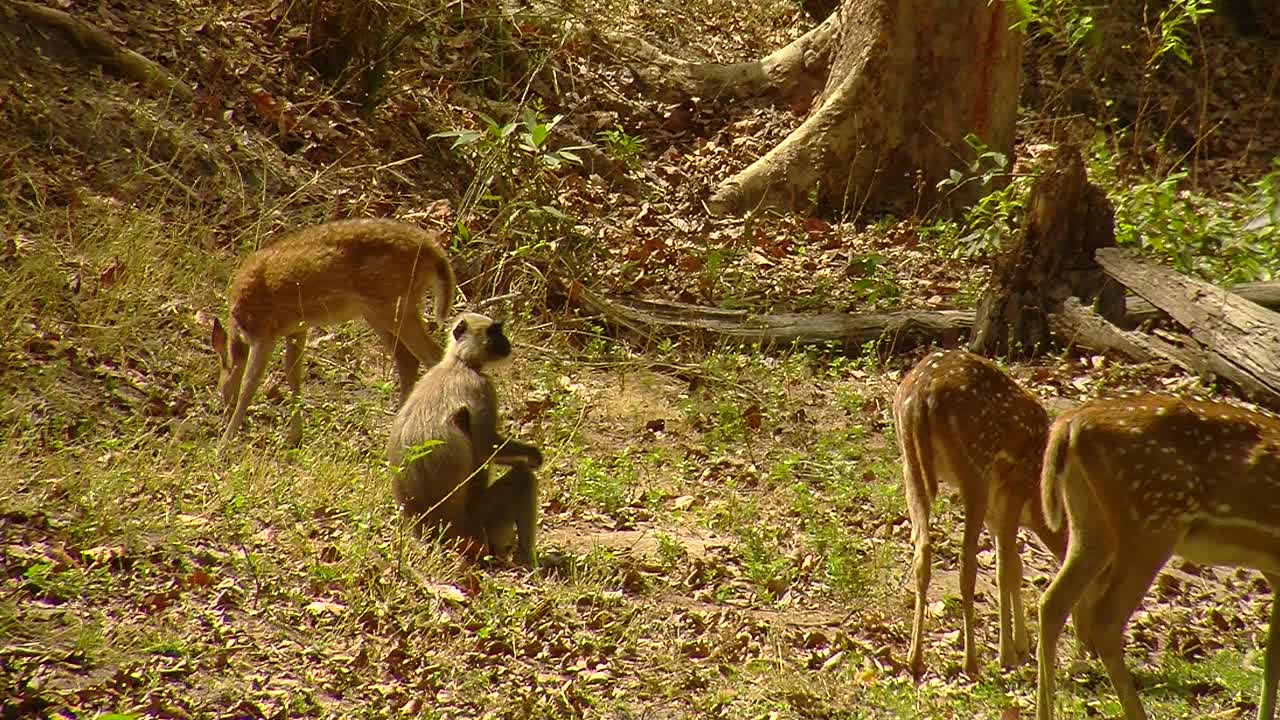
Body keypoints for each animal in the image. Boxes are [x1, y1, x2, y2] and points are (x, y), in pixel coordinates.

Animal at [215, 215, 460, 445]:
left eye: (219, 387)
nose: (223, 413)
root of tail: (434, 251)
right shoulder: (296, 328)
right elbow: (293, 374)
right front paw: (295, 437)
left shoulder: (263, 331)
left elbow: (249, 384)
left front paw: (225, 443)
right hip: (380, 312)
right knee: (408, 360)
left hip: (394, 304)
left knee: (433, 356)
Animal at [391, 311, 547, 563]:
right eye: (493, 333)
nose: (506, 343)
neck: (459, 362)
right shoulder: (481, 386)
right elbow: (486, 446)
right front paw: (533, 456)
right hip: (476, 527)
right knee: (523, 480)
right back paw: (527, 561)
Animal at [896, 351, 1064, 676]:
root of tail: (923, 393)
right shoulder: (1014, 489)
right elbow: (1005, 568)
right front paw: (1008, 653)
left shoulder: (996, 511)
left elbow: (1015, 566)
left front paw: (1021, 645)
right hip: (975, 467)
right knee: (966, 562)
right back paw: (970, 661)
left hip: (910, 462)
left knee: (922, 547)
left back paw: (914, 657)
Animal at [1039, 392, 1280, 717]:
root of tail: (1070, 422)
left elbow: (1272, 657)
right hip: (1152, 522)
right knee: (1105, 619)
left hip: (1090, 523)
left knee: (1053, 602)